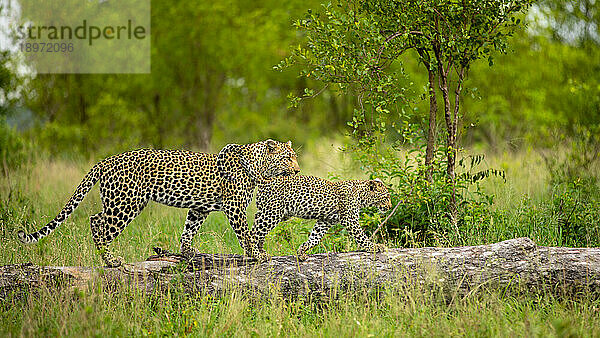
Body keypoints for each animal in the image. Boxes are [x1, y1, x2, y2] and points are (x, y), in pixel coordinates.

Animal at [18, 139, 300, 266]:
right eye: (287, 158)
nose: (297, 170)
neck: (259, 168)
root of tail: (106, 160)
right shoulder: (234, 207)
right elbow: (245, 233)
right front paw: (257, 255)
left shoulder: (199, 208)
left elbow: (188, 230)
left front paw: (188, 253)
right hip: (126, 203)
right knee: (99, 224)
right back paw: (110, 261)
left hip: (121, 203)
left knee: (95, 219)